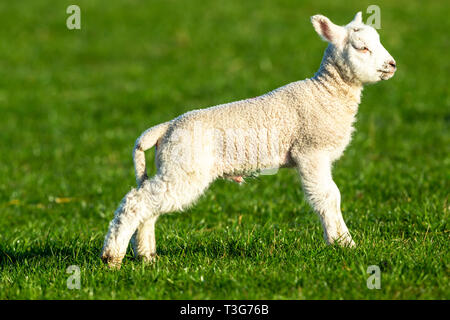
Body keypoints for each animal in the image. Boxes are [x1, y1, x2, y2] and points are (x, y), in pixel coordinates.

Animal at [100, 11, 396, 268]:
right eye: (362, 48)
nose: (392, 65)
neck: (326, 93)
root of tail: (165, 128)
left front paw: (338, 241)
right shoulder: (311, 150)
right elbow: (328, 196)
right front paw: (344, 243)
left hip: (174, 166)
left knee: (148, 205)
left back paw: (146, 255)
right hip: (184, 167)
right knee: (136, 202)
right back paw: (112, 258)